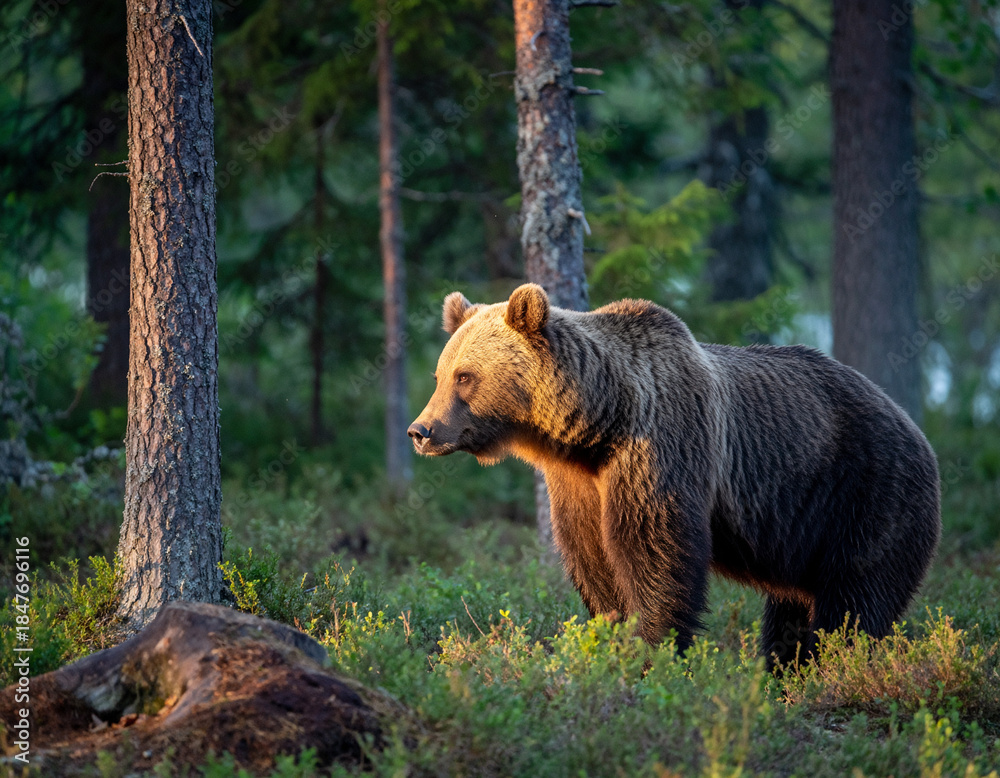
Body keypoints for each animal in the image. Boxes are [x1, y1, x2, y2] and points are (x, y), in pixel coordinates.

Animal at [408, 283, 941, 666]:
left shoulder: (663, 446)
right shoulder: (578, 484)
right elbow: (593, 560)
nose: (421, 430)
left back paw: (830, 668)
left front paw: (653, 649)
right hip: (803, 532)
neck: (599, 425)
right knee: (791, 610)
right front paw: (612, 634)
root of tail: (917, 429)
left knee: (855, 600)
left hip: (866, 493)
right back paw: (785, 673)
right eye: (440, 374)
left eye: (465, 377)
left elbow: (656, 551)